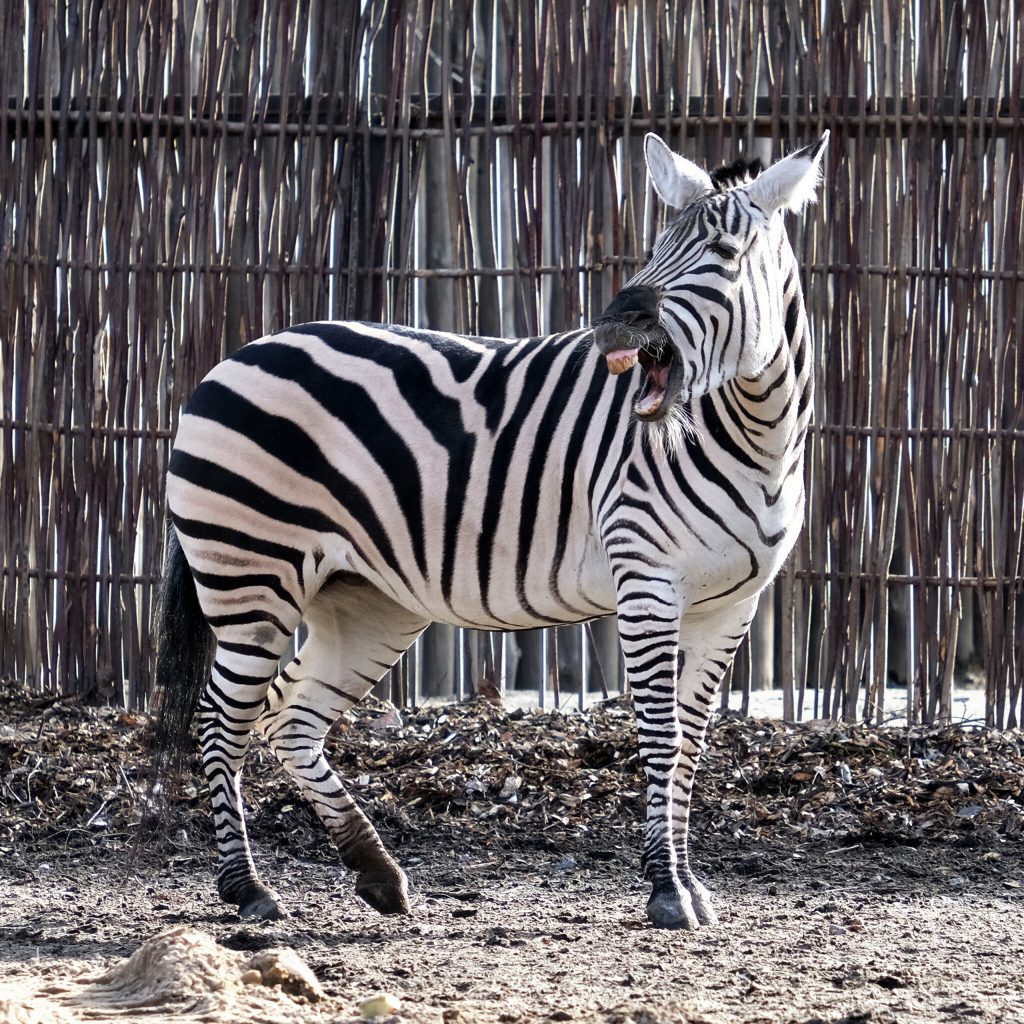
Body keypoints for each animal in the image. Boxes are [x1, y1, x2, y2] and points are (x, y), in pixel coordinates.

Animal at [155, 130, 831, 929]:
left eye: (725, 253)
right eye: (657, 245)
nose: (613, 323)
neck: (754, 436)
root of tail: (235, 355)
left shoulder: (730, 605)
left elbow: (693, 748)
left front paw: (690, 885)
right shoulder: (647, 583)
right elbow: (663, 740)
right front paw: (667, 888)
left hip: (366, 602)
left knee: (289, 717)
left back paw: (377, 873)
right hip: (252, 578)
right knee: (220, 721)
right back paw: (247, 888)